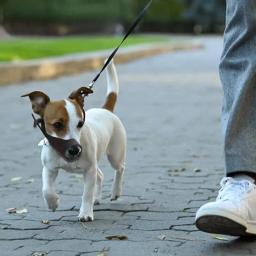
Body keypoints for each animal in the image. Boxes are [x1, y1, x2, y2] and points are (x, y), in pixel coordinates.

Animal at [22, 60, 126, 222]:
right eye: (58, 124)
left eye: (80, 123)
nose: (75, 150)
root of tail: (106, 110)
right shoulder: (49, 168)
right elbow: (46, 189)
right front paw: (53, 202)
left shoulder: (89, 170)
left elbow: (86, 194)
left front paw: (85, 213)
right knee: (100, 175)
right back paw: (97, 198)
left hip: (115, 154)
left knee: (120, 168)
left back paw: (115, 191)